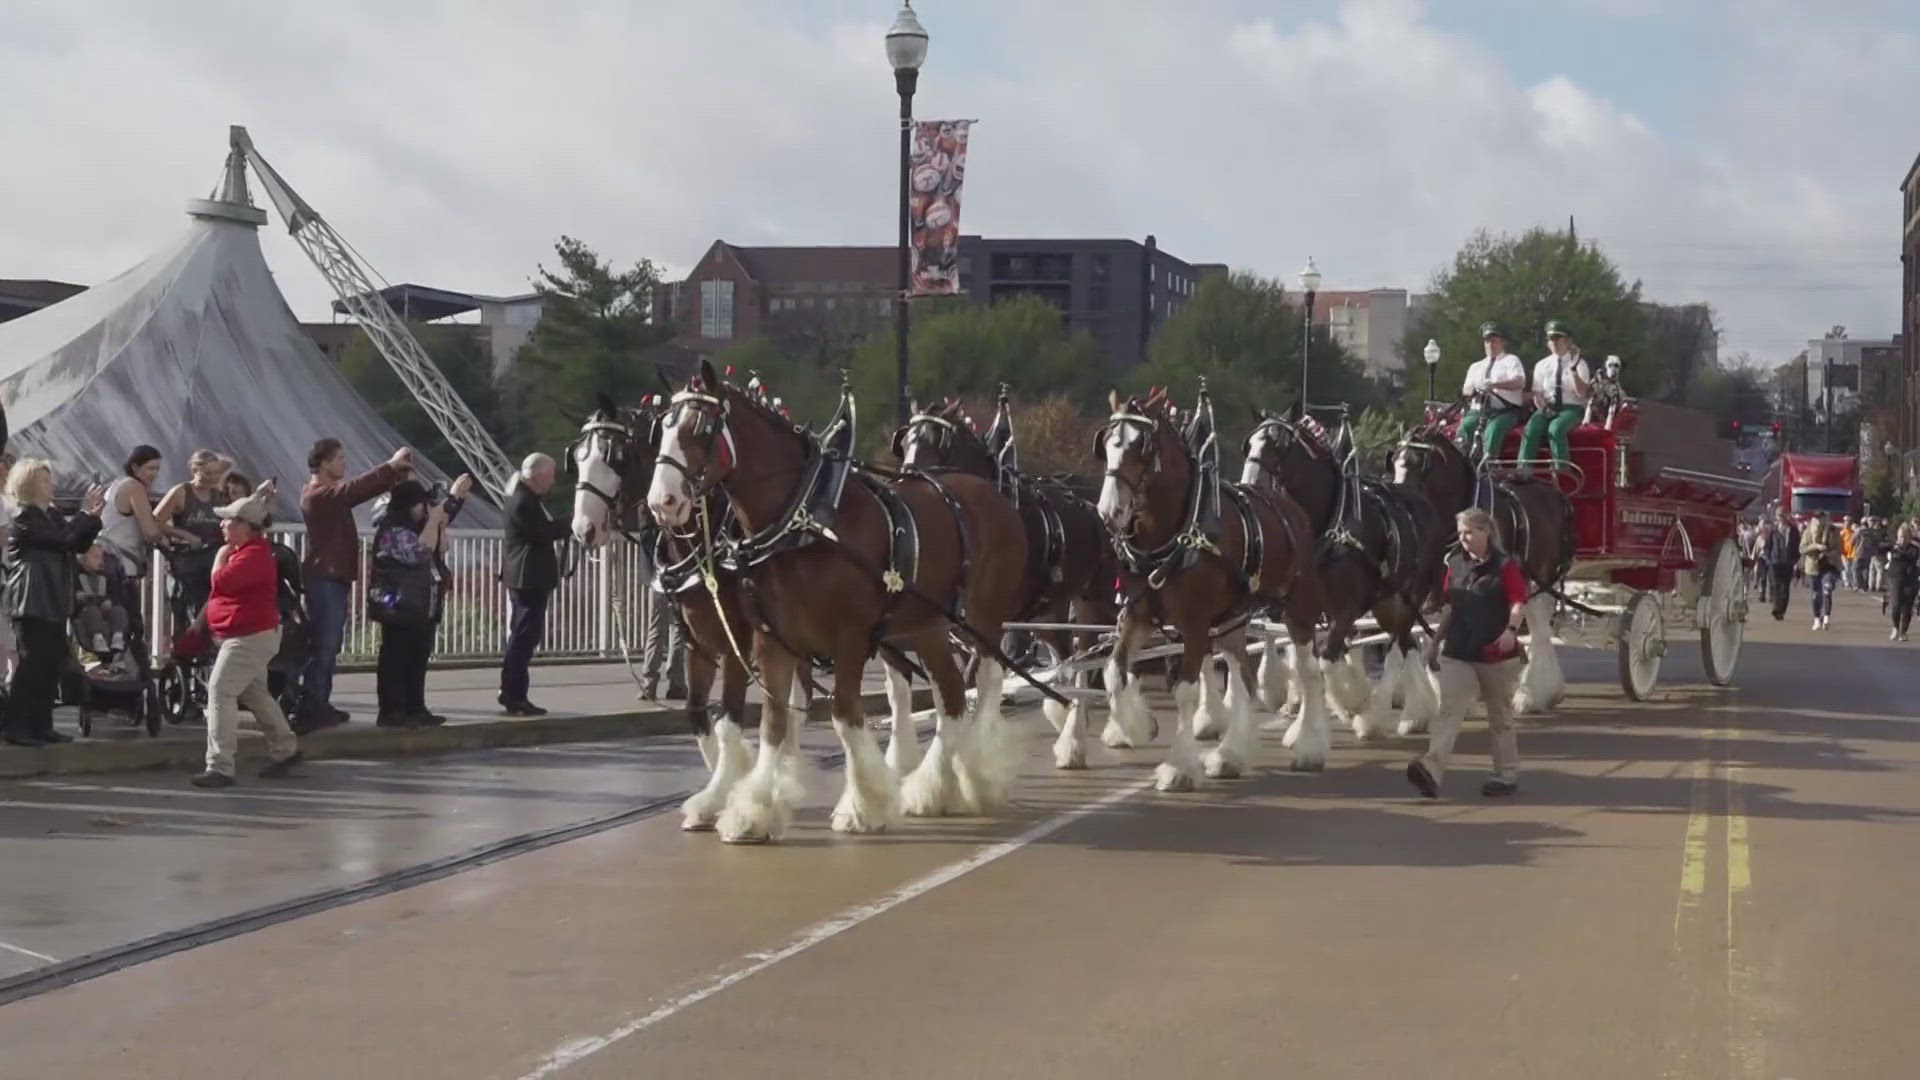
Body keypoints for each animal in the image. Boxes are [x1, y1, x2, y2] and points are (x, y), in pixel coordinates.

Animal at [648, 361, 1036, 841]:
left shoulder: (847, 638)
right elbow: (773, 721)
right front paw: (752, 810)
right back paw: (933, 789)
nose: (663, 501)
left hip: (981, 620)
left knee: (987, 681)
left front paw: (862, 805)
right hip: (927, 627)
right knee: (950, 697)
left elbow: (843, 714)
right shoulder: (768, 640)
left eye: (701, 428)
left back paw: (977, 776)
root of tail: (990, 493)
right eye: (661, 428)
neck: (806, 518)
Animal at [890, 393, 1121, 764]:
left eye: (937, 444)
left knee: (1099, 649)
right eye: (906, 441)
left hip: (1096, 598)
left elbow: (973, 675)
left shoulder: (991, 616)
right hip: (1047, 610)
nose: (908, 480)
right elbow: (969, 675)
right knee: (1065, 652)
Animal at [1098, 386, 1336, 780]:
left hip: (1299, 608)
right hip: (1231, 619)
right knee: (1245, 679)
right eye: (1106, 443)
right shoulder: (1137, 614)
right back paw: (1231, 754)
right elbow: (1114, 672)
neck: (1177, 531)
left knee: (1308, 671)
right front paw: (1135, 727)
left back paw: (1309, 746)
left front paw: (1178, 766)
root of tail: (1290, 507)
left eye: (1140, 445)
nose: (1110, 511)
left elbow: (1185, 691)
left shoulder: (1194, 624)